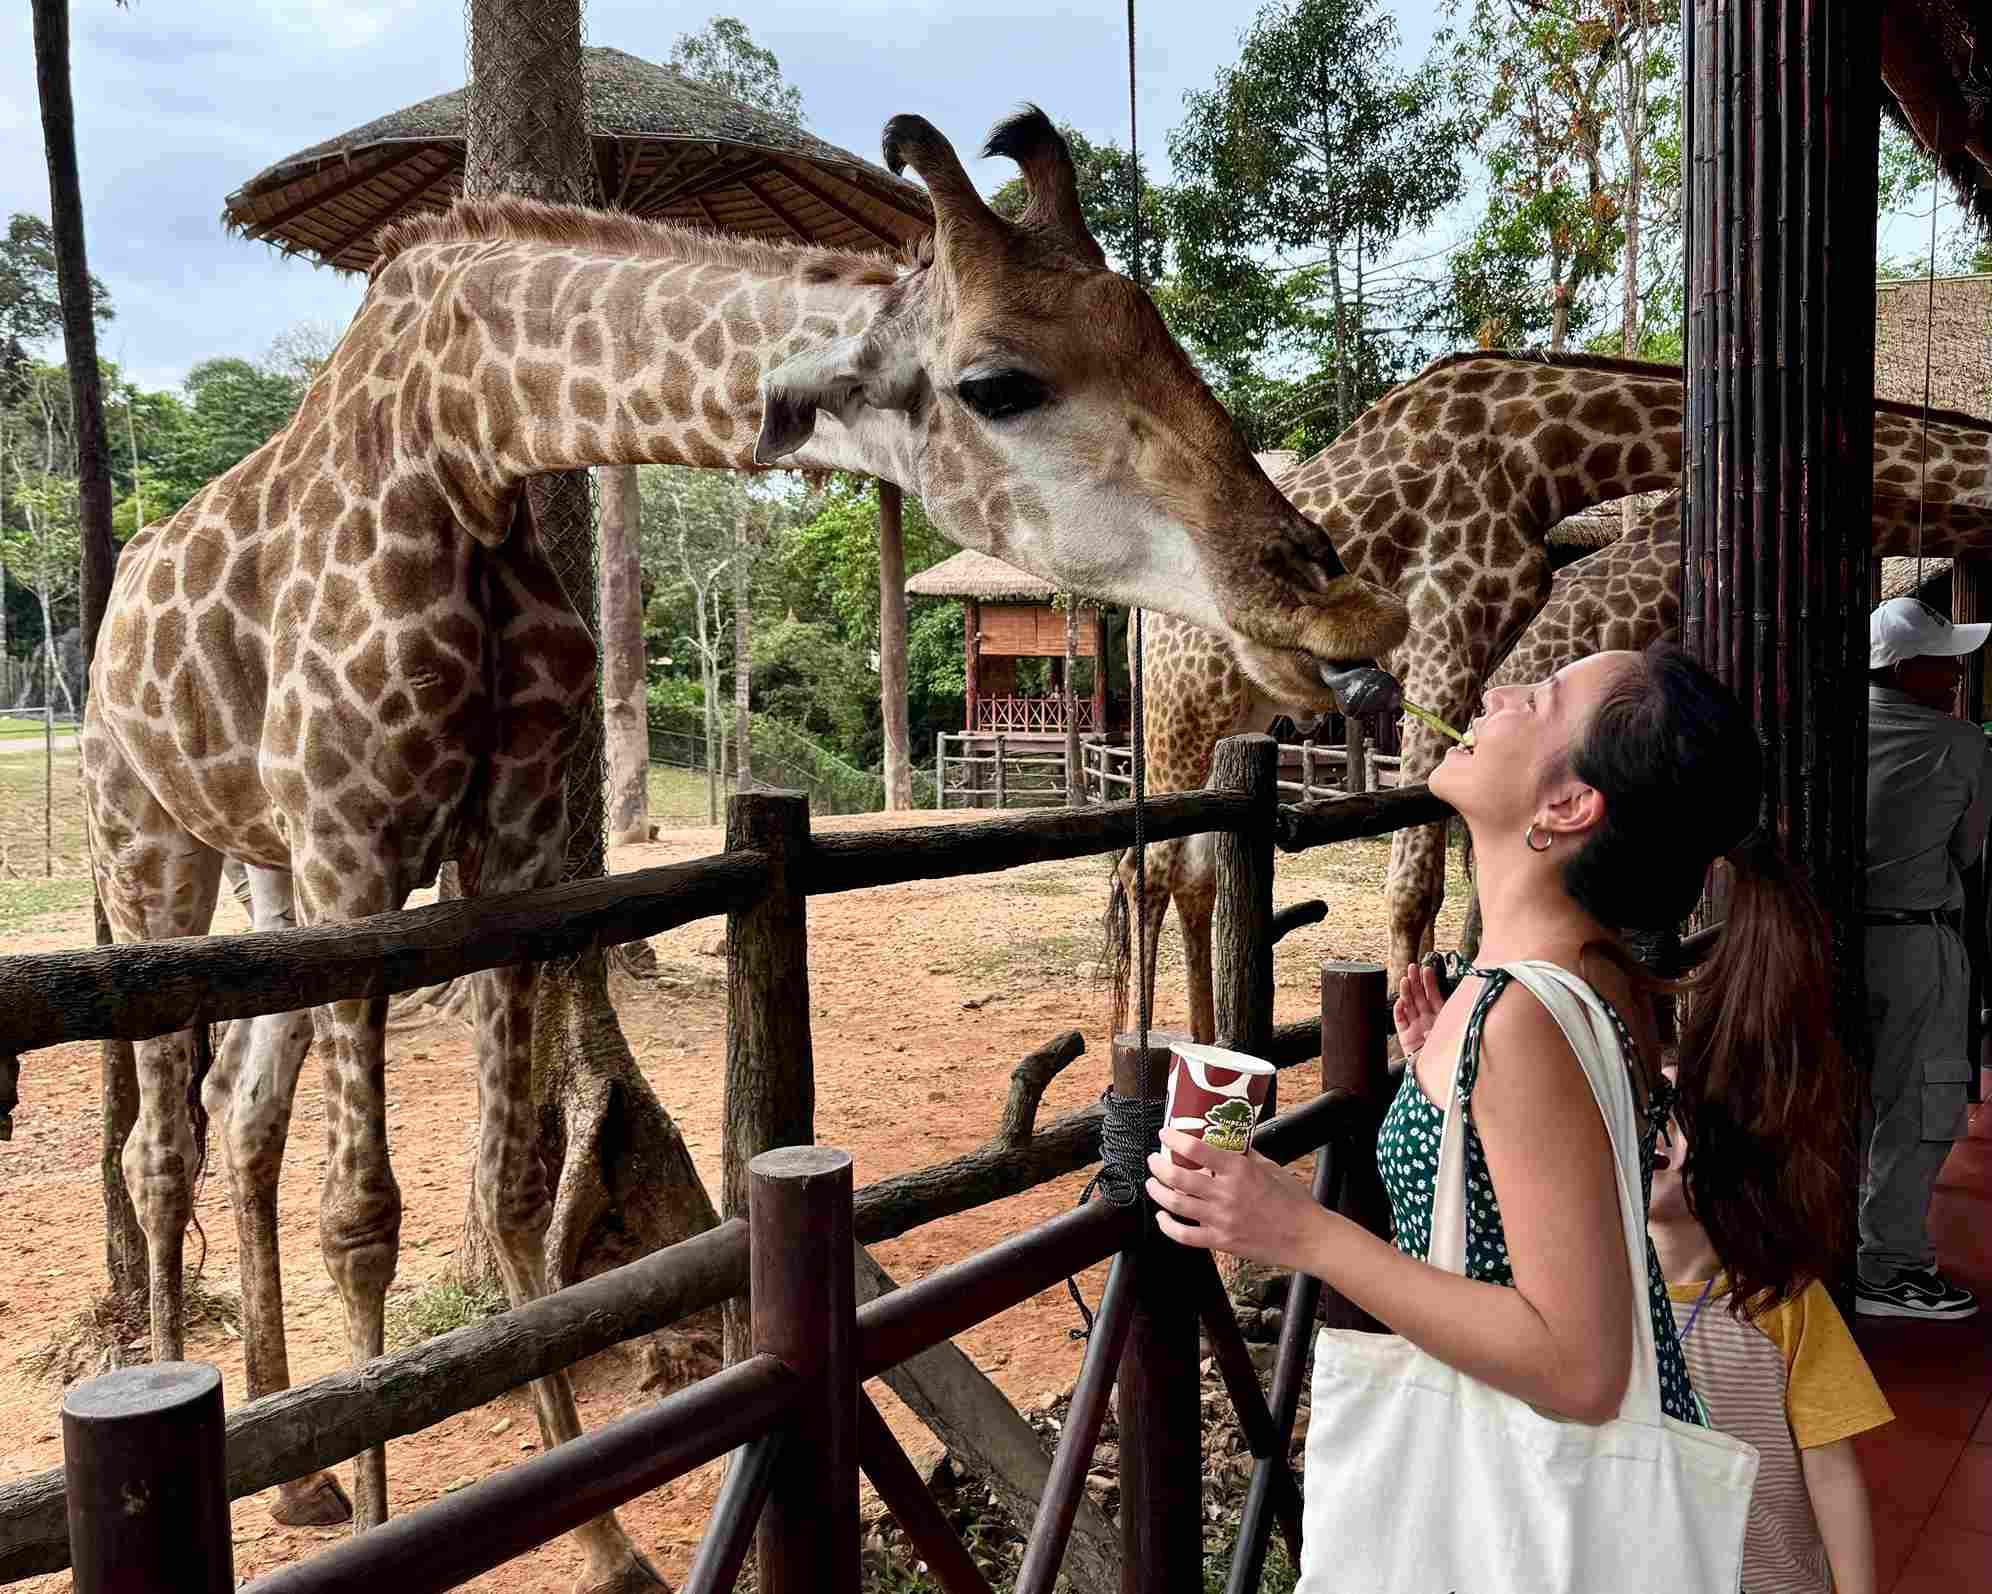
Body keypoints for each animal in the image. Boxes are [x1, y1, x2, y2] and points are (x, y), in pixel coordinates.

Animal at [85, 112, 1410, 1578]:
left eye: (1160, 331)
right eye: (999, 384)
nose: (1334, 599)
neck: (465, 440)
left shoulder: (507, 850)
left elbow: (508, 1186)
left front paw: (606, 1547)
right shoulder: (355, 841)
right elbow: (364, 1215)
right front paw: (392, 1528)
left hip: (267, 878)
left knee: (238, 1115)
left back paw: (297, 1476)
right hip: (153, 845)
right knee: (160, 1146)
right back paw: (252, 1442)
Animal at [1107, 358, 1992, 1036]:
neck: (1548, 449)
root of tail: (1134, 624)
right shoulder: (1446, 620)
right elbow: (1414, 885)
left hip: (1235, 715)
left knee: (1186, 873)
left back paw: (1199, 1043)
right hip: (1180, 713)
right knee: (1146, 869)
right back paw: (1141, 1064)